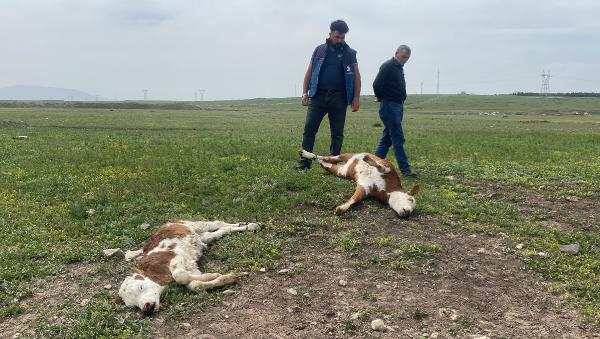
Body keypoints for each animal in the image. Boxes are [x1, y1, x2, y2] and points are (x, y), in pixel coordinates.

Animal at [117, 220, 258, 316]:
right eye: (132, 305)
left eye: (141, 287)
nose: (146, 308)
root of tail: (167, 223)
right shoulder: (191, 268)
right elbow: (194, 284)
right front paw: (227, 277)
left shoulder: (177, 256)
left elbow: (180, 275)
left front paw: (214, 275)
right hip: (203, 237)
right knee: (219, 232)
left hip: (195, 225)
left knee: (217, 223)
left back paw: (252, 225)